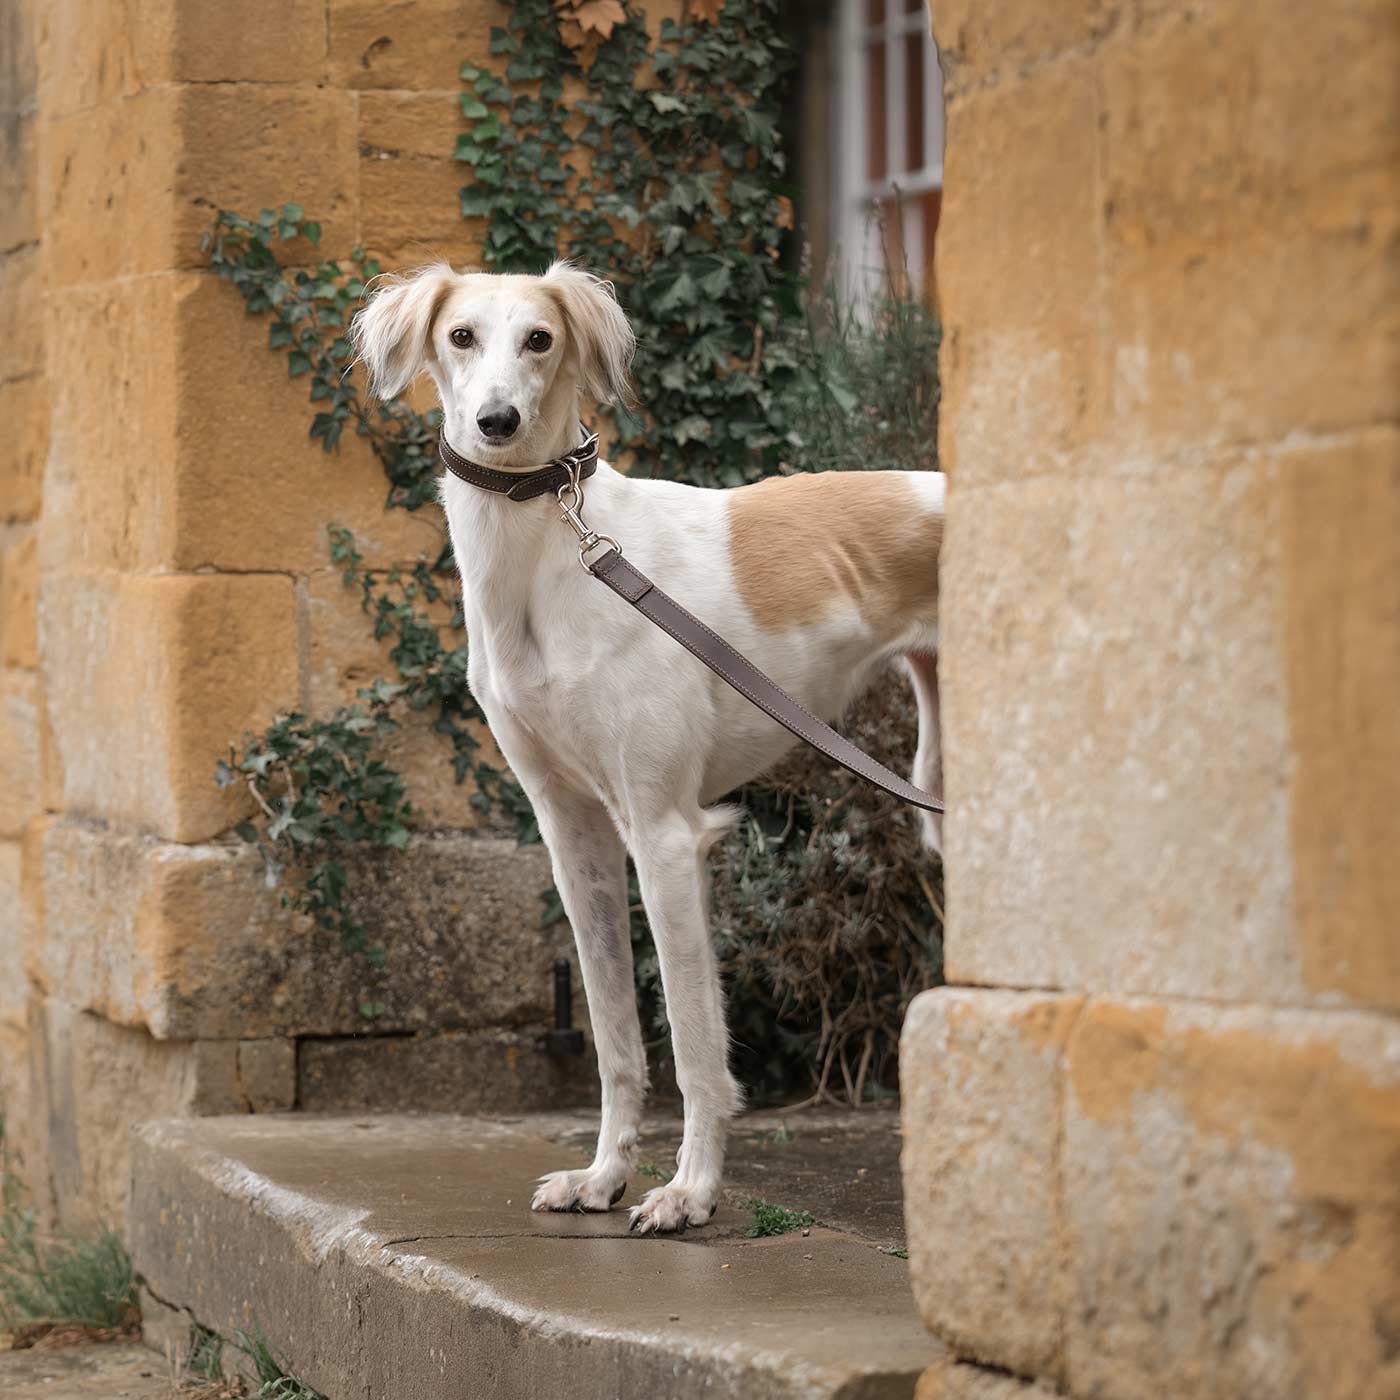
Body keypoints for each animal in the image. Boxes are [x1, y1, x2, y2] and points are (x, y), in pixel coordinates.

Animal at [350, 257, 946, 1232]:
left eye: (541, 339)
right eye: (460, 335)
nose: (497, 423)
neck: (557, 559)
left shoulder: (666, 833)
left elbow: (696, 1045)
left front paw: (689, 1192)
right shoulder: (574, 834)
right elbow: (616, 1037)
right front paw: (602, 1176)